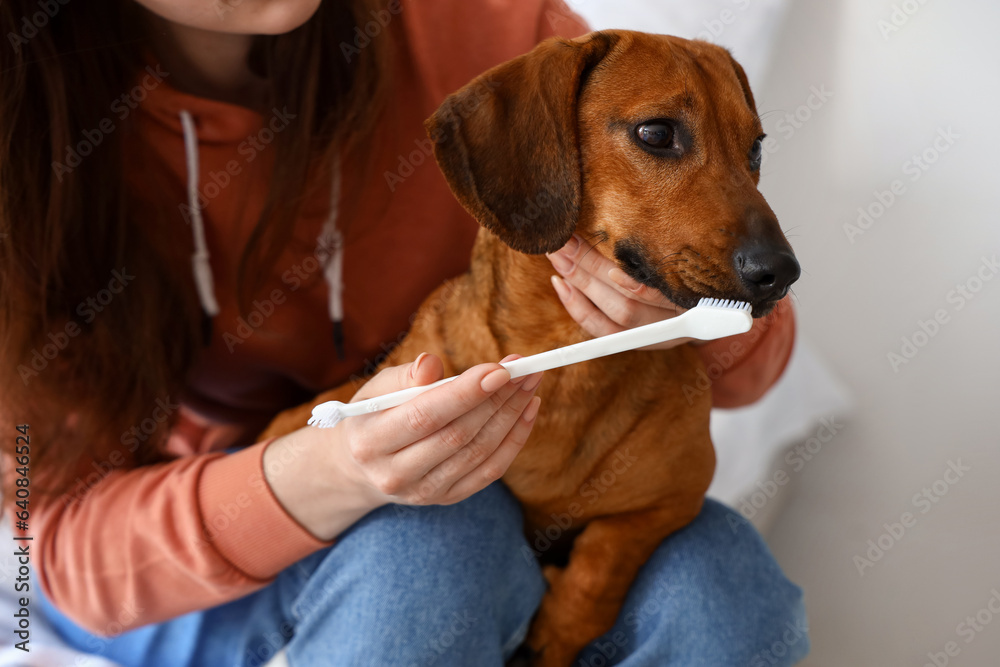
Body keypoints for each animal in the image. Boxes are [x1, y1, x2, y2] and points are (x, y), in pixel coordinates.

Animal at [262, 30, 800, 664]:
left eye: (756, 149)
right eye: (656, 133)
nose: (782, 274)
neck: (566, 358)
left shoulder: (672, 498)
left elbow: (599, 569)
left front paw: (556, 630)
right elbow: (305, 415)